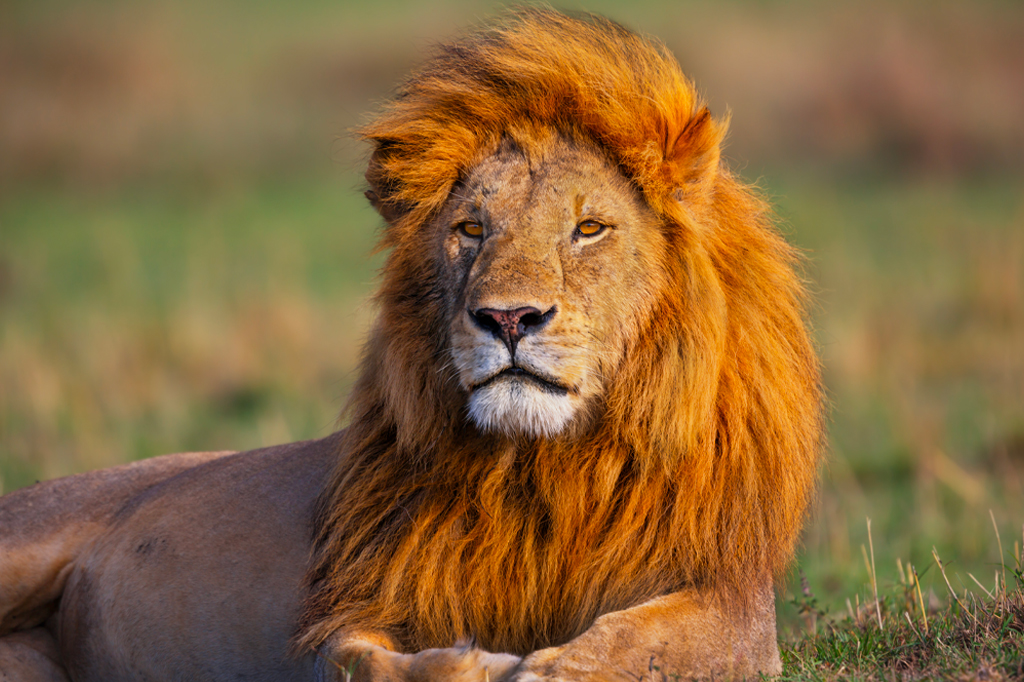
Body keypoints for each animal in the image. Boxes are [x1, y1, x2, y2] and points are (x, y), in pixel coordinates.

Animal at [0, 9, 823, 682]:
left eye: (589, 228)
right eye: (471, 229)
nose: (508, 319)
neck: (544, 467)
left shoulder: (729, 597)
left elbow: (646, 643)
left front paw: (551, 669)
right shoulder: (361, 597)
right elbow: (359, 660)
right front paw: (477, 666)